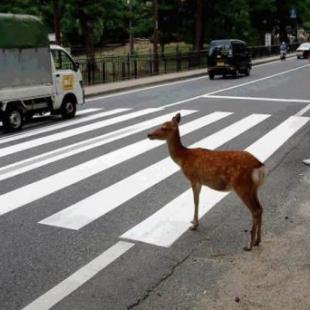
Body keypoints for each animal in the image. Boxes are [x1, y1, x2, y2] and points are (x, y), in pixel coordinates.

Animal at [148, 112, 266, 251]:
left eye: (164, 127)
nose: (149, 134)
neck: (183, 158)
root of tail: (260, 166)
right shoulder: (199, 181)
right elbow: (197, 200)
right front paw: (194, 222)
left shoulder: (194, 178)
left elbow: (195, 201)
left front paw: (194, 225)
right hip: (253, 188)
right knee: (260, 208)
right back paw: (258, 240)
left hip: (242, 185)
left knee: (255, 210)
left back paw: (249, 244)